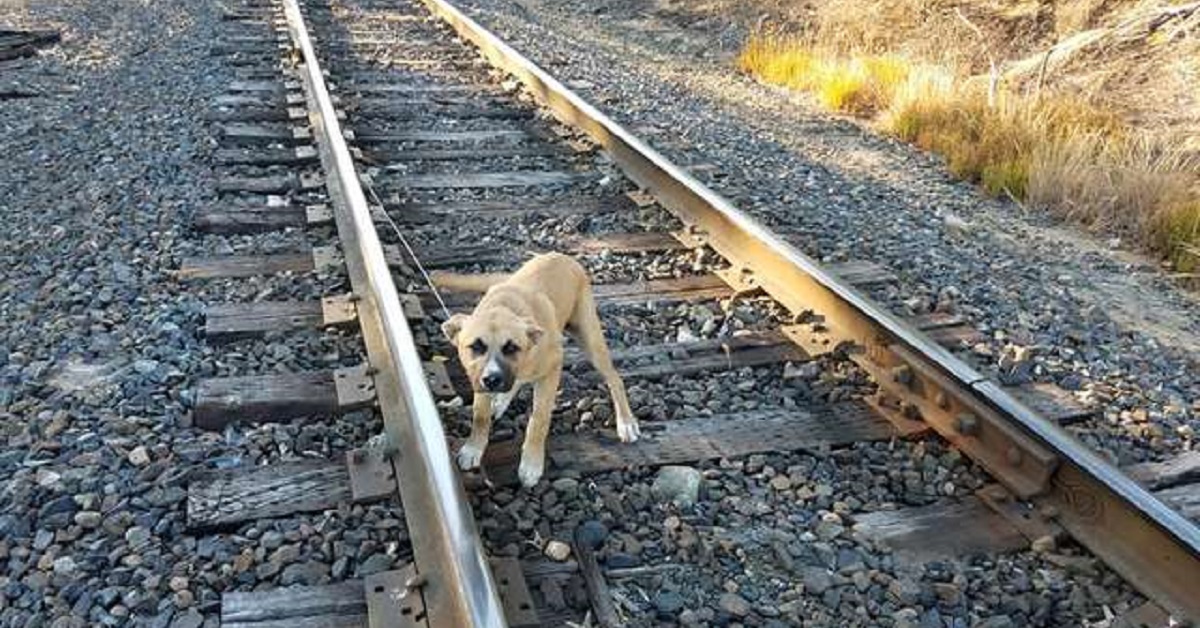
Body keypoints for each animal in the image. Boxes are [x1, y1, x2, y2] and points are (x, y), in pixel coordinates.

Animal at [441, 252, 643, 487]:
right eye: (476, 346)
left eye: (512, 347)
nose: (492, 380)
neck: (505, 307)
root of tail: (561, 255)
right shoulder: (478, 379)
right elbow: (480, 415)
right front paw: (473, 448)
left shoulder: (552, 368)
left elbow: (539, 419)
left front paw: (531, 464)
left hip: (590, 338)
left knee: (614, 378)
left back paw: (626, 422)